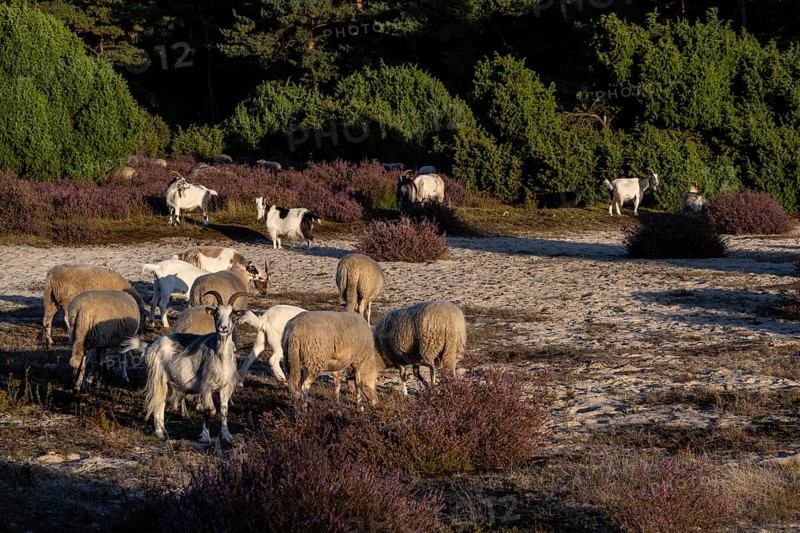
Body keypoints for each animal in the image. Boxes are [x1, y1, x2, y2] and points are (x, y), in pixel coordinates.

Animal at [121, 291, 248, 442]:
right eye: (216, 314)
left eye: (233, 315)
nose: (223, 328)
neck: (220, 357)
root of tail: (151, 347)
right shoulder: (205, 386)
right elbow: (209, 411)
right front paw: (205, 436)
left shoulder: (225, 387)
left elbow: (224, 411)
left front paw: (226, 435)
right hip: (158, 379)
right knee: (158, 404)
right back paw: (160, 433)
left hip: (168, 383)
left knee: (162, 403)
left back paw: (164, 431)